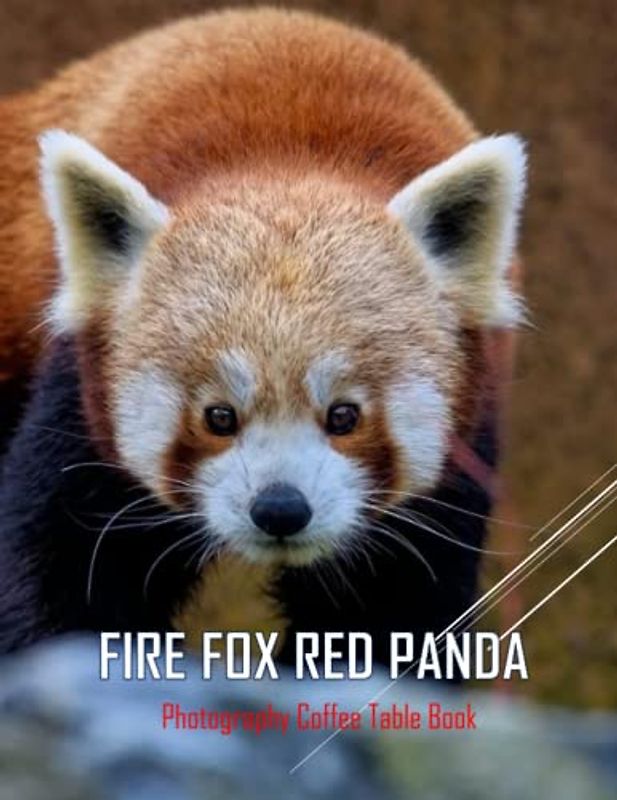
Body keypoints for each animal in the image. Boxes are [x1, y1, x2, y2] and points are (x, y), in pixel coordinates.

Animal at [0, 8, 526, 665]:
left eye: (345, 415)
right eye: (218, 416)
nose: (279, 508)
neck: (284, 149)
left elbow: (393, 611)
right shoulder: (78, 403)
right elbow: (61, 575)